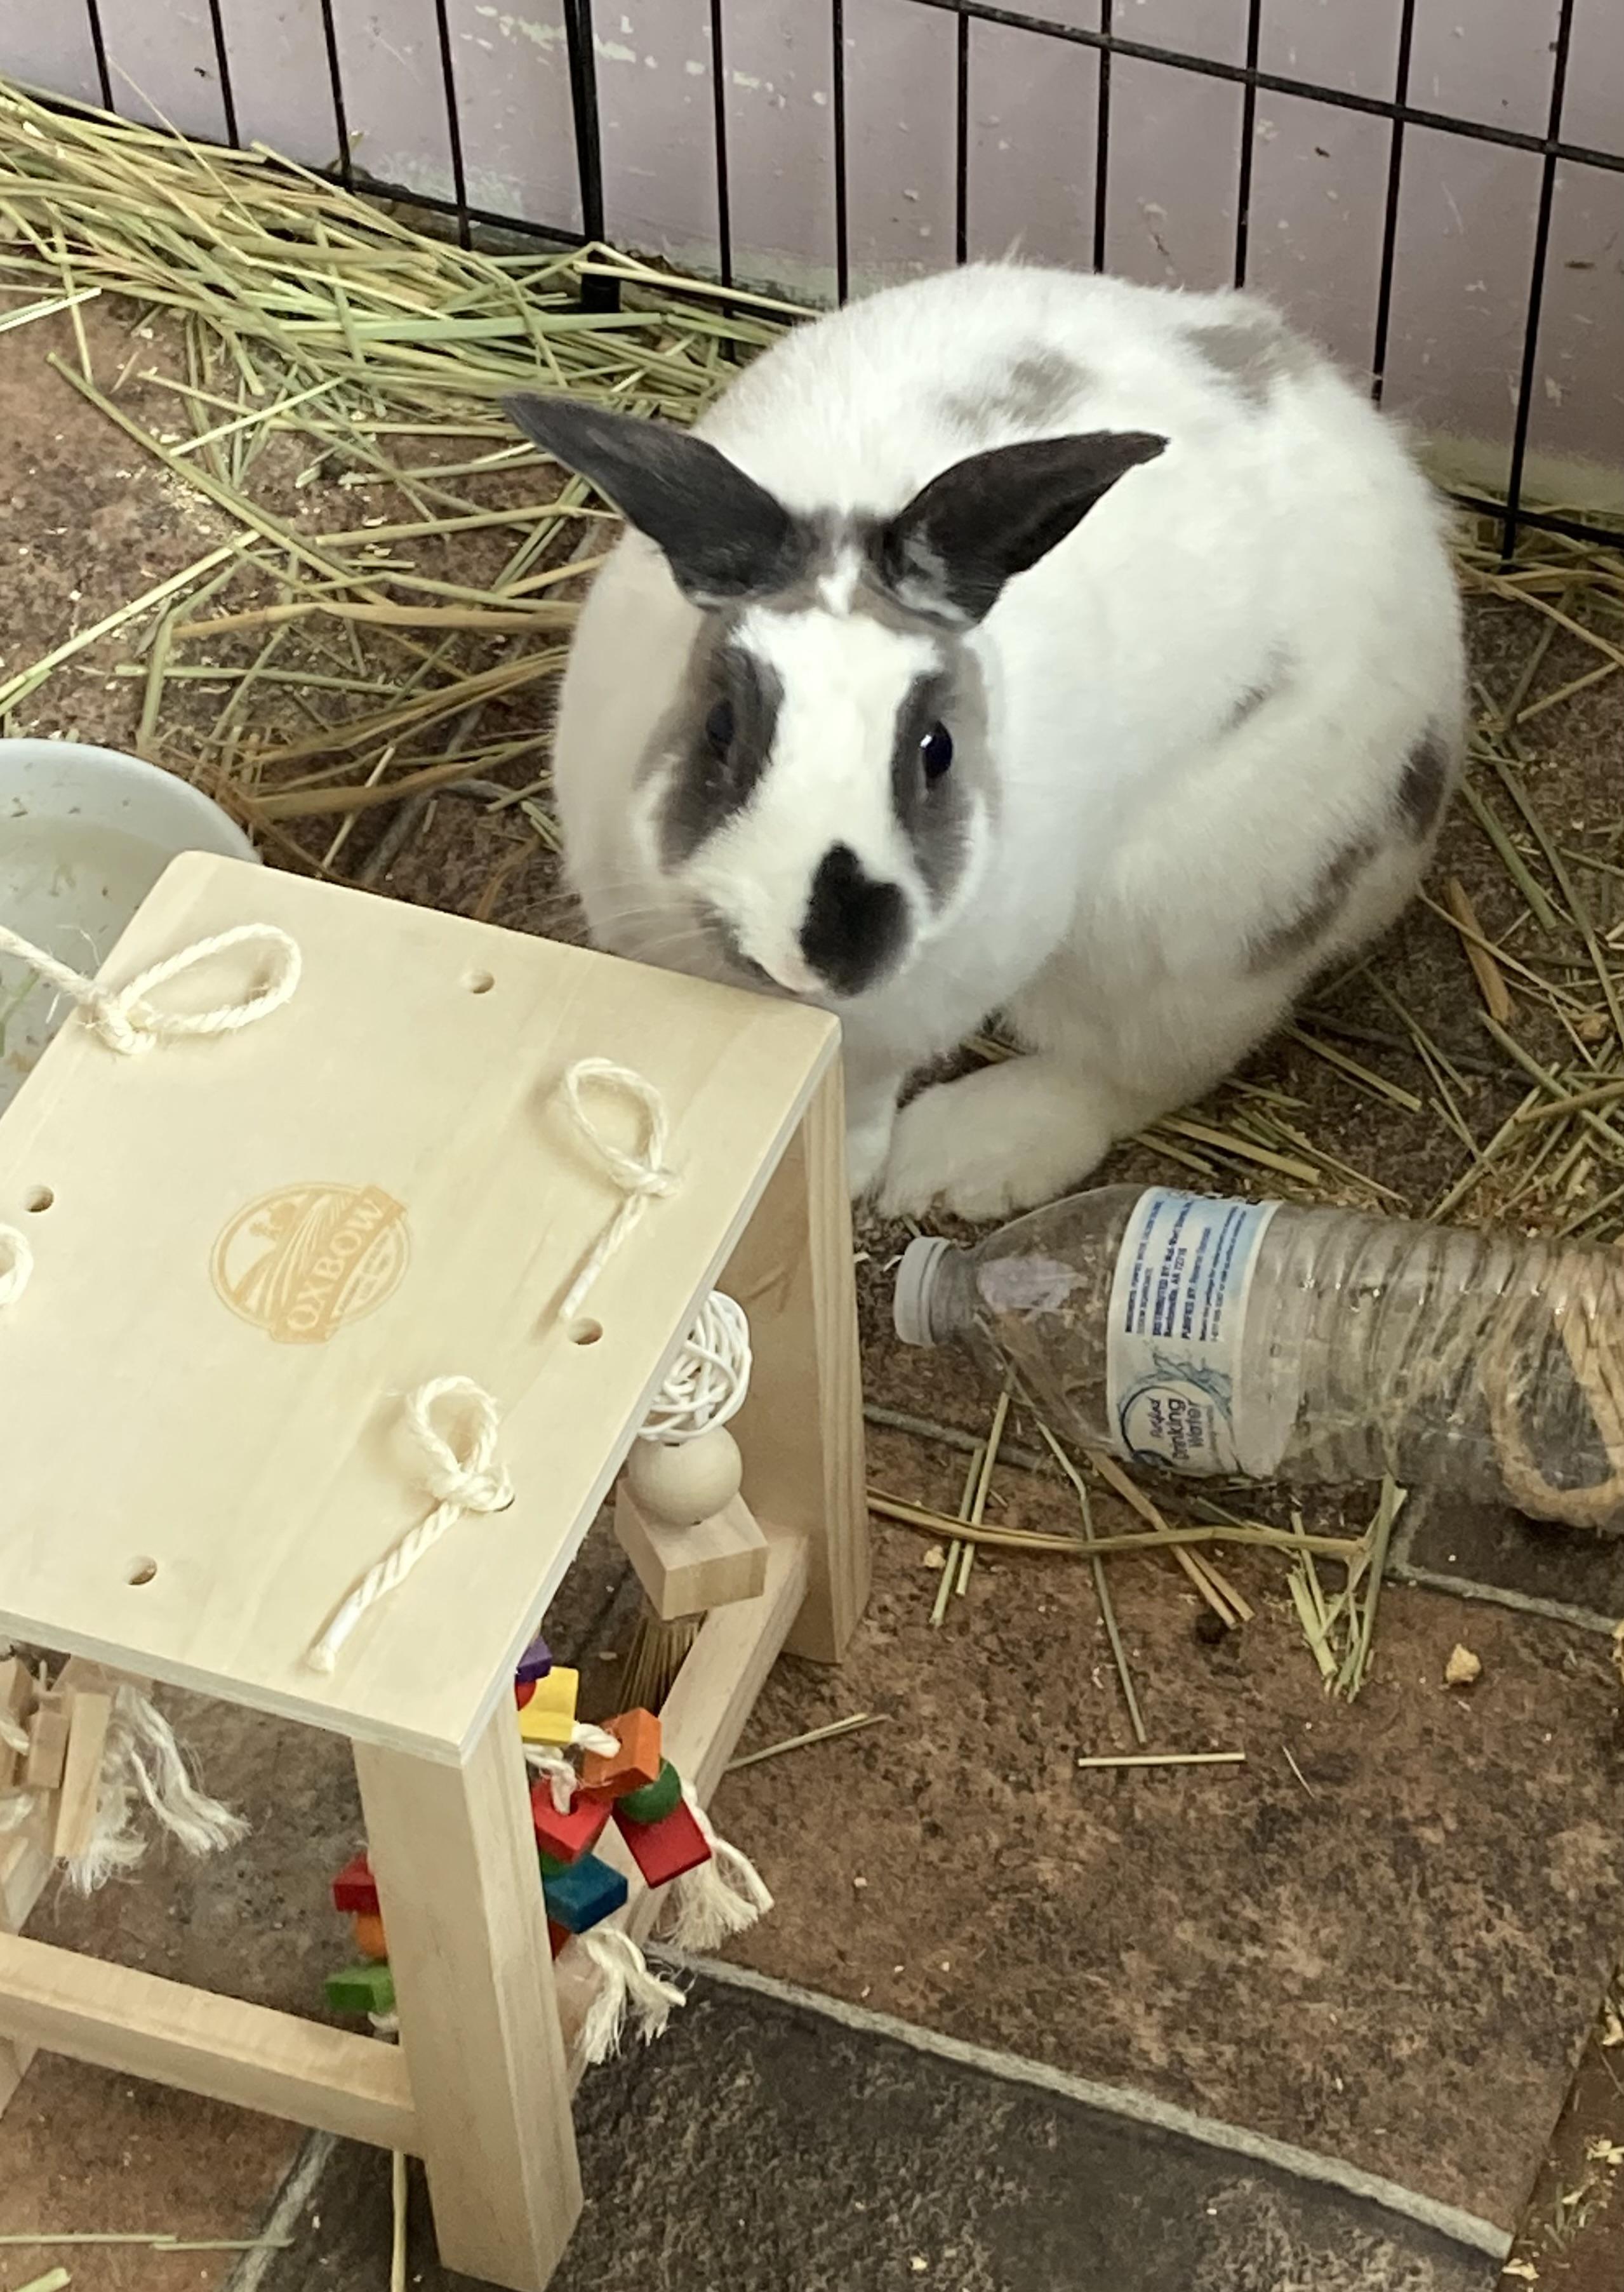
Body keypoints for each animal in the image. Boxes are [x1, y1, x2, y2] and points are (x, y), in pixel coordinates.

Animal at [507, 261, 1463, 1222]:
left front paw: (853, 1180)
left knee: (1130, 1071)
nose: (831, 944)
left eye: (936, 748)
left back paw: (956, 1157)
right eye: (720, 725)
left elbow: (860, 1097)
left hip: (1192, 936)